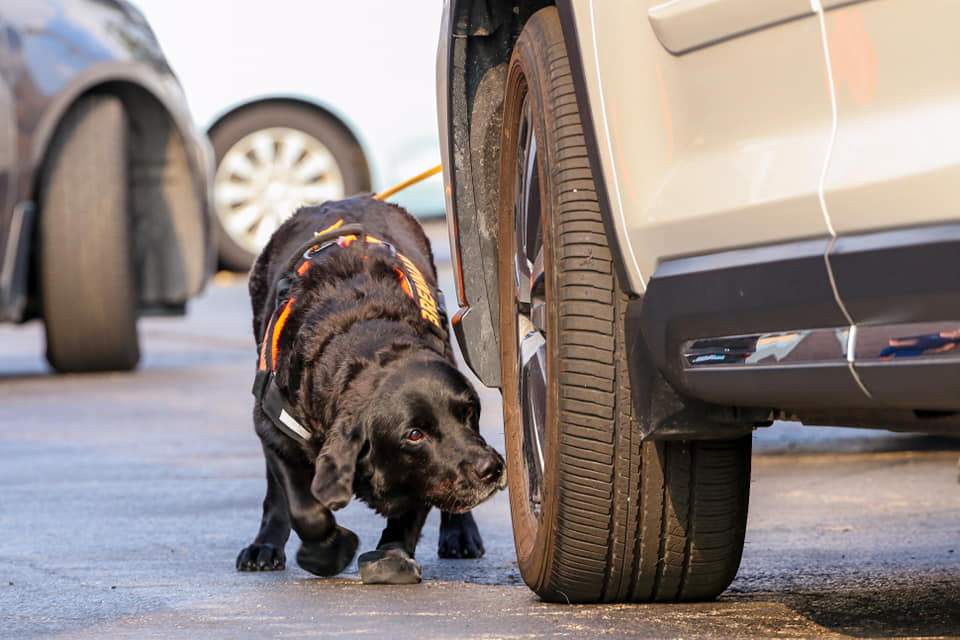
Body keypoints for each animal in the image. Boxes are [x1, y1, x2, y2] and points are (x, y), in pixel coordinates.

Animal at [236, 198, 506, 584]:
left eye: (469, 411)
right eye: (414, 434)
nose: (490, 468)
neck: (363, 330)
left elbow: (412, 508)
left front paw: (391, 554)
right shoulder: (275, 428)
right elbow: (303, 506)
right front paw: (328, 552)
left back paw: (460, 534)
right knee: (276, 493)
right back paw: (265, 546)